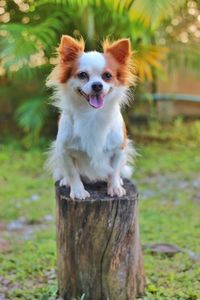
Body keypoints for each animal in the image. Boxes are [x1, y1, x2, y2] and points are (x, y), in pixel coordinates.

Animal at [46, 35, 137, 199]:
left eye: (107, 76)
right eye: (83, 75)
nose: (97, 85)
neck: (92, 114)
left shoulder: (119, 148)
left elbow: (114, 171)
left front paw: (114, 187)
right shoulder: (64, 150)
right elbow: (73, 172)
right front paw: (78, 191)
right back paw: (65, 181)